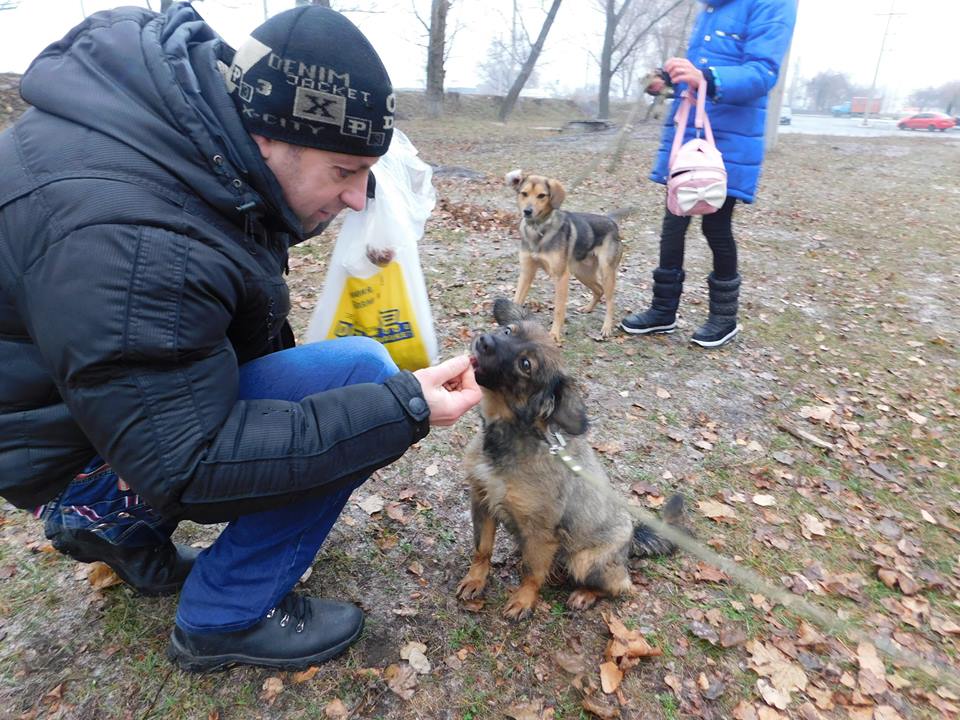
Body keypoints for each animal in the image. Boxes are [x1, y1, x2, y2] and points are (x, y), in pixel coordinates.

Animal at [457, 299, 685, 619]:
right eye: (508, 330)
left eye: (525, 365)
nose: (484, 340)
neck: (509, 439)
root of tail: (630, 542)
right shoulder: (482, 503)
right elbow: (482, 549)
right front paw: (475, 580)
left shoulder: (540, 532)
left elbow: (532, 572)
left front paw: (524, 600)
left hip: (585, 560)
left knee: (622, 587)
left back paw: (585, 595)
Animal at [505, 170, 623, 343]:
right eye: (524, 193)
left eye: (541, 195)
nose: (527, 211)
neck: (538, 229)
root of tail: (612, 222)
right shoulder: (527, 272)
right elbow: (517, 299)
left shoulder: (561, 277)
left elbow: (559, 309)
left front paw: (554, 334)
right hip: (581, 272)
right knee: (598, 289)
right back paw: (587, 308)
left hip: (606, 272)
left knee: (610, 300)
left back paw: (607, 327)